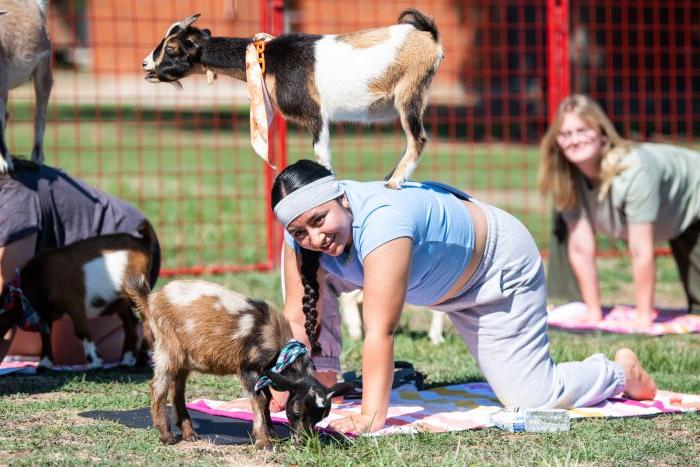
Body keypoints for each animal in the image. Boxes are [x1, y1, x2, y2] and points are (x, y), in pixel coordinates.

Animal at [0, 221, 157, 372]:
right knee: (130, 323)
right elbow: (45, 334)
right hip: (121, 301)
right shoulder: (45, 314)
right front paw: (44, 364)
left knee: (146, 318)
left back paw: (142, 359)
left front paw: (95, 362)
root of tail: (141, 241)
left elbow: (81, 331)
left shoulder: (74, 302)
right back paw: (126, 360)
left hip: (137, 288)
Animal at [123, 276, 352, 448]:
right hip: (168, 349)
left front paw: (271, 432)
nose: (304, 441)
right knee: (158, 388)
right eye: (297, 412)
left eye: (321, 417)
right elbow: (259, 400)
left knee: (177, 392)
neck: (278, 347)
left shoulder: (263, 373)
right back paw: (166, 436)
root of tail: (152, 299)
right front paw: (263, 441)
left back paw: (189, 434)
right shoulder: (248, 369)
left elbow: (267, 399)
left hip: (183, 360)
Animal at [142, 9, 442, 188]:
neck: (269, 58)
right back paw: (390, 177)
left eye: (171, 48)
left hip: (410, 92)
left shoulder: (315, 114)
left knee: (418, 138)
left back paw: (394, 182)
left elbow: (321, 155)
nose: (146, 65)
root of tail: (429, 37)